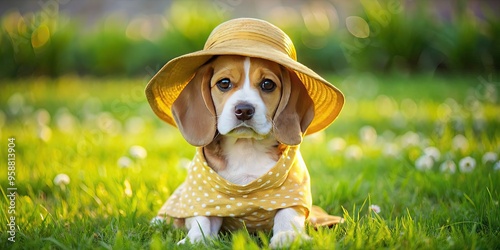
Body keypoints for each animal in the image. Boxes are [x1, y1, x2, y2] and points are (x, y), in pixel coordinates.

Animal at [153, 55, 316, 248]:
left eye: (268, 84)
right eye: (224, 83)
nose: (244, 110)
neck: (246, 149)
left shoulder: (293, 194)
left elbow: (288, 214)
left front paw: (287, 235)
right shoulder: (206, 200)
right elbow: (202, 219)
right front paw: (194, 239)